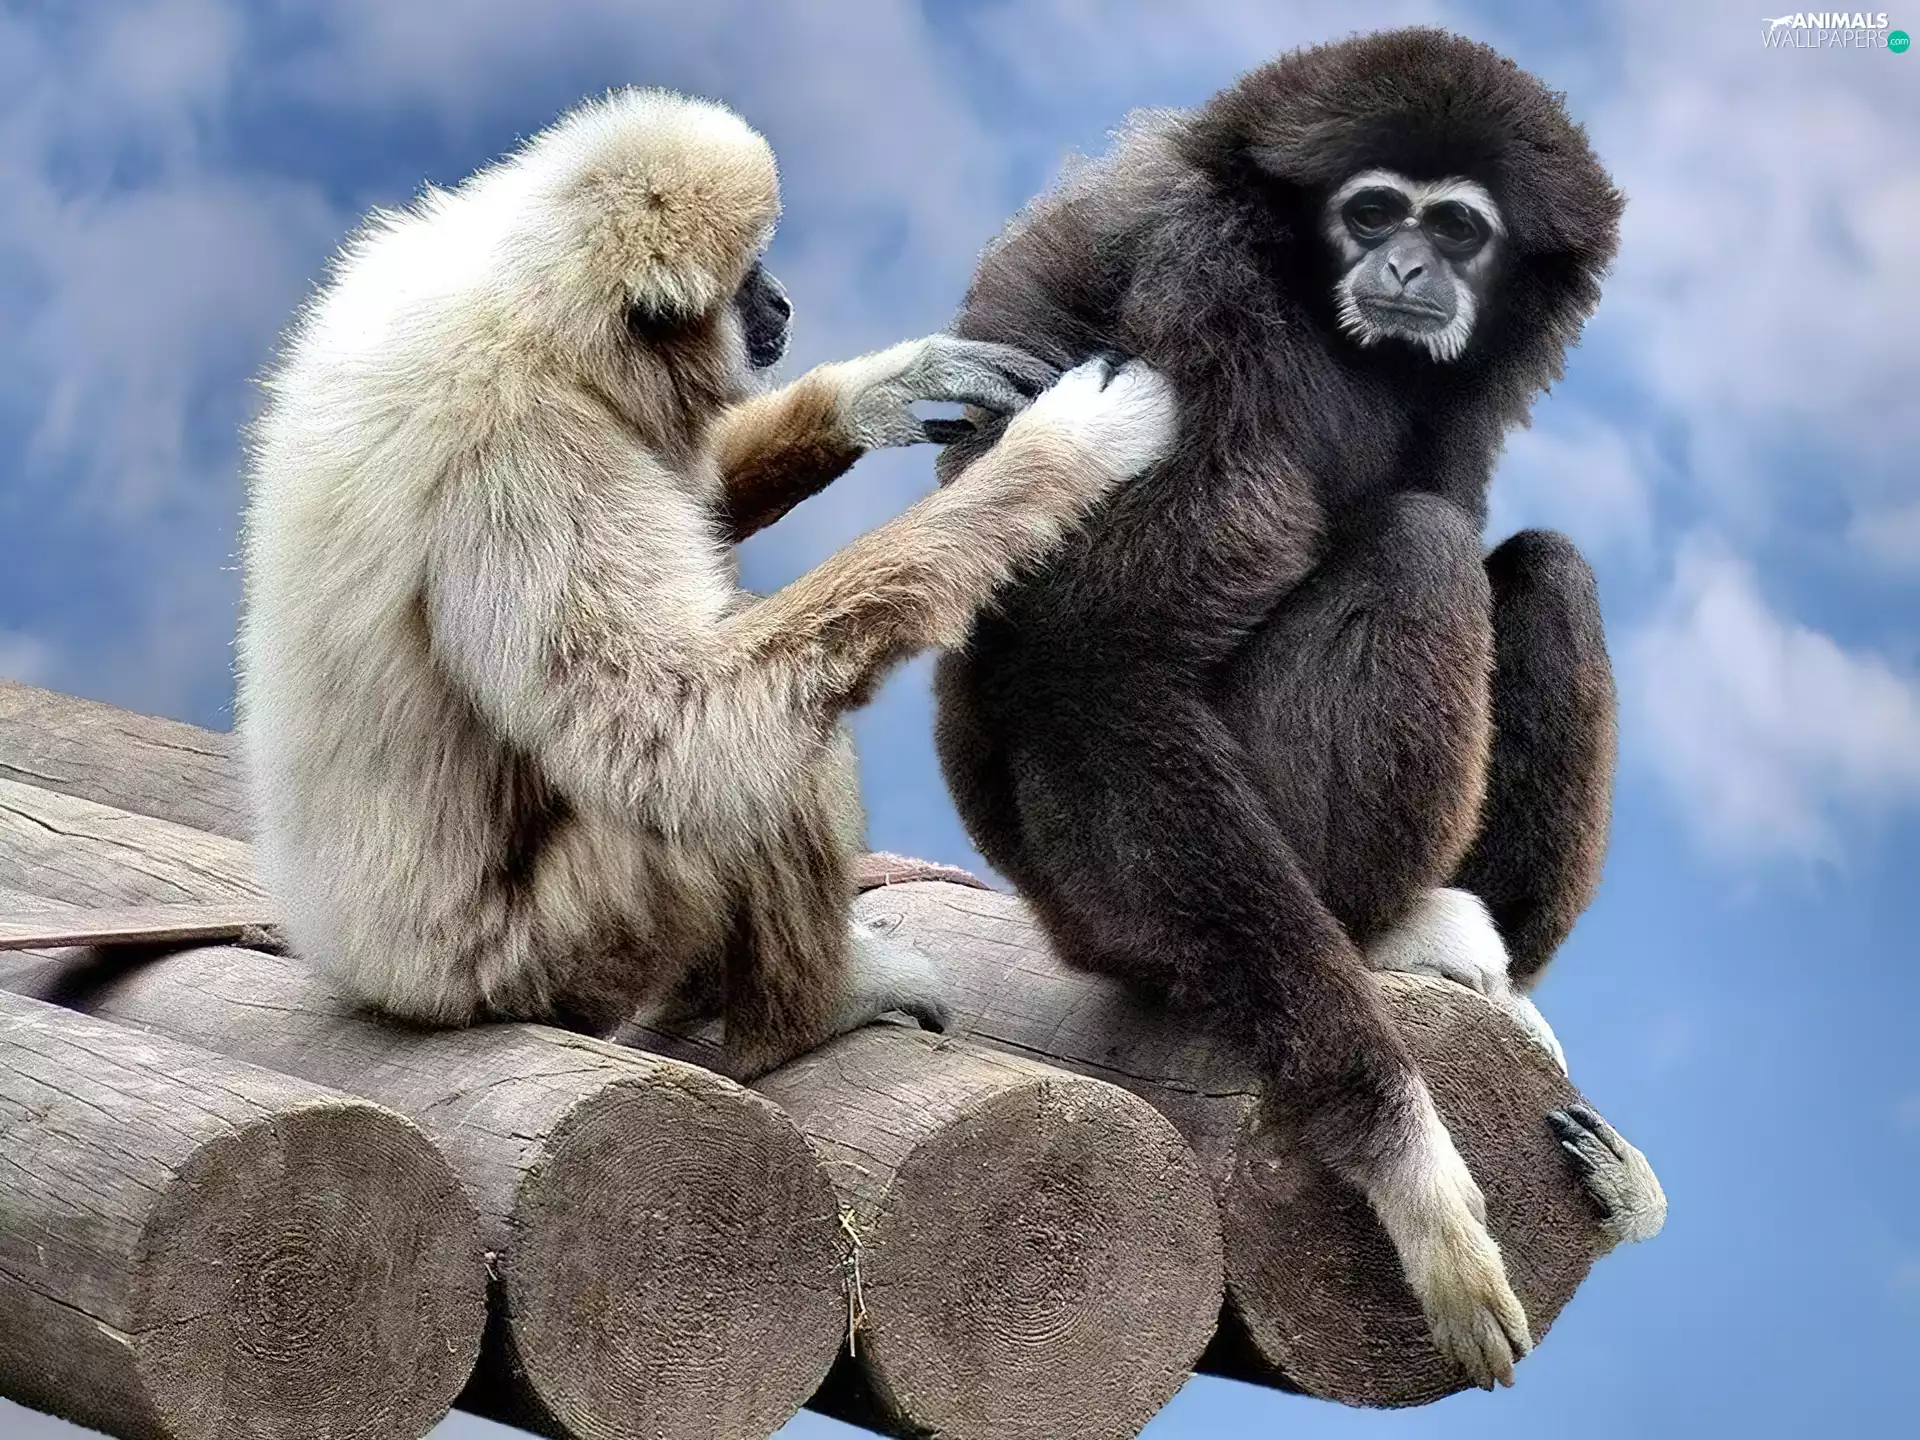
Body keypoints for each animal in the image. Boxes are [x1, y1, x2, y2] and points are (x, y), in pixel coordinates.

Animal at [236, 87, 1177, 1082]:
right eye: (749, 277)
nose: (783, 299)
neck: (523, 308)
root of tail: (372, 974)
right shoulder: (530, 454)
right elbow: (672, 731)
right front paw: (1061, 451)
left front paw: (878, 389)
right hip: (560, 942)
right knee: (743, 763)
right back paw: (805, 1018)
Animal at [928, 30, 1662, 1387]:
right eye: (1370, 210)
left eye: (1460, 229)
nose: (1408, 263)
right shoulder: (1209, 291)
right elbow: (1096, 662)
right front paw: (1409, 1171)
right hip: (1129, 904)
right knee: (1421, 547)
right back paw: (1388, 934)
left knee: (1544, 568)